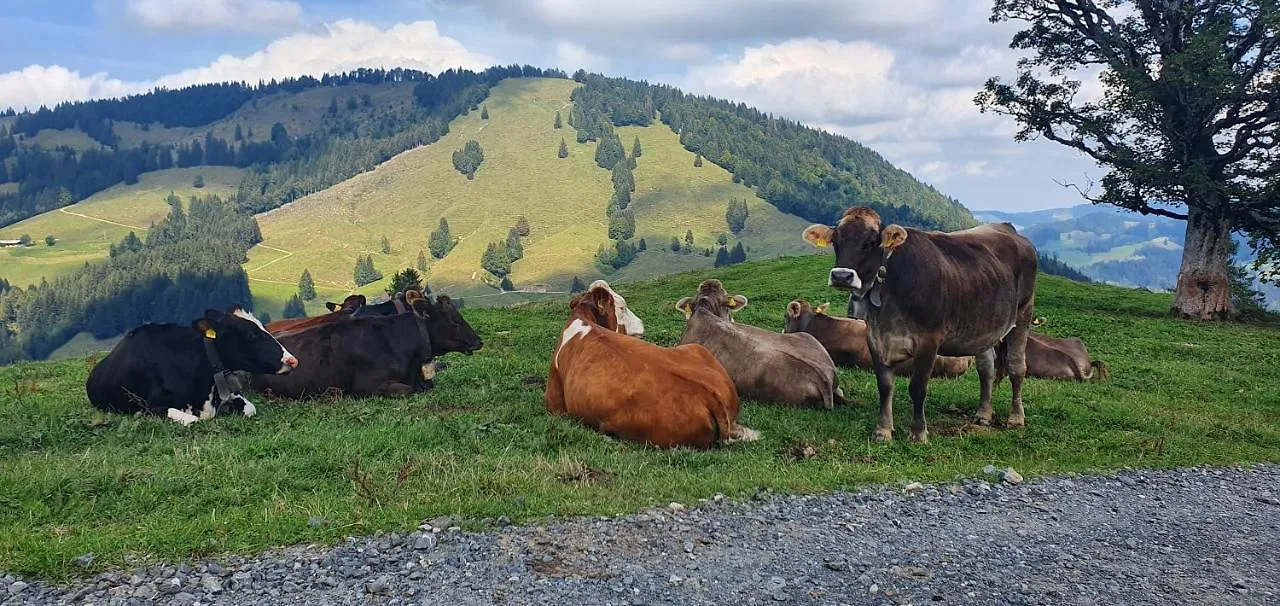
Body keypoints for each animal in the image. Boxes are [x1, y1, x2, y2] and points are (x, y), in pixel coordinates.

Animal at [542, 279, 757, 448]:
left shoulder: (555, 405)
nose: (641, 324)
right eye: (622, 307)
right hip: (697, 350)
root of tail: (708, 394)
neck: (583, 318)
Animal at [808, 204, 1039, 440]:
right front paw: (883, 430)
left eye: (871, 242)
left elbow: (918, 387)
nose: (841, 276)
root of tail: (1008, 228)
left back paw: (1016, 418)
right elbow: (885, 386)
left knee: (1016, 367)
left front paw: (918, 433)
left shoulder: (929, 340)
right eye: (835, 240)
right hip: (983, 325)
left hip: (1023, 312)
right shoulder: (875, 338)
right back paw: (983, 413)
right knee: (986, 368)